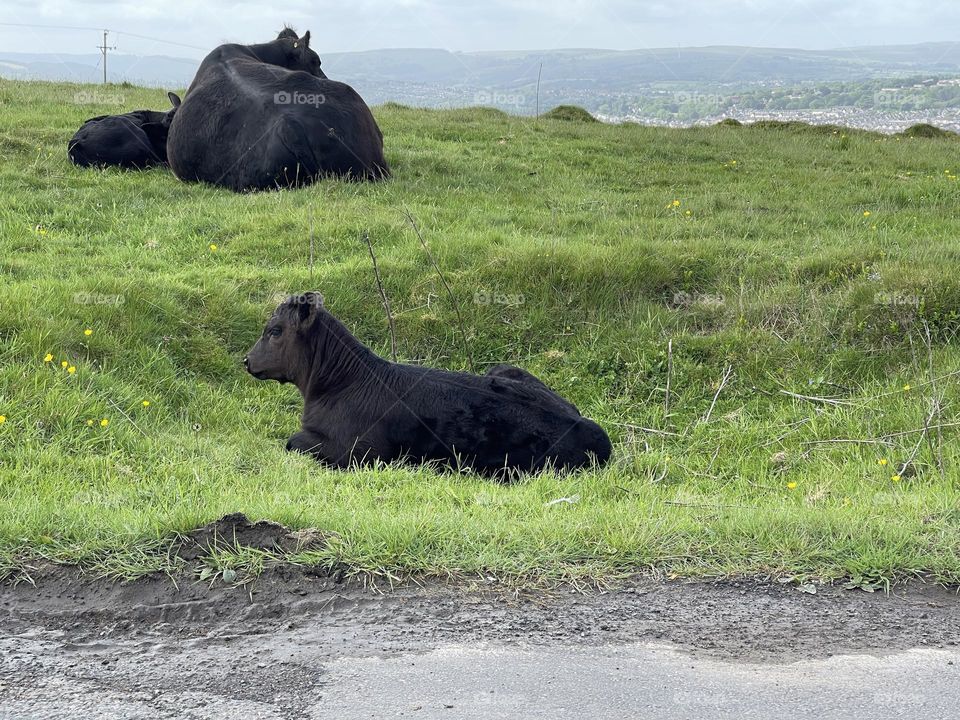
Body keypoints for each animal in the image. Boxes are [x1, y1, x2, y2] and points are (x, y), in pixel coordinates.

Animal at [243, 292, 612, 479]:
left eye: (274, 330)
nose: (246, 360)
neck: (338, 385)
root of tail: (590, 427)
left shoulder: (356, 452)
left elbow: (292, 442)